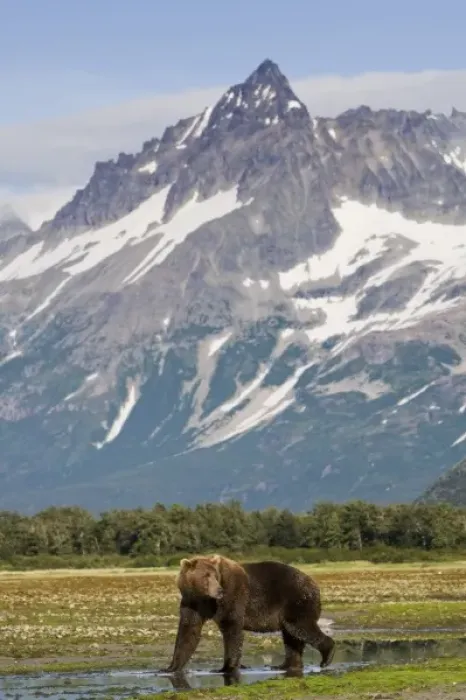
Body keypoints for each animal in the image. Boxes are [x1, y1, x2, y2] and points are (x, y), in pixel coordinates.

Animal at [161, 554, 335, 674]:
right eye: (206, 576)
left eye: (215, 576)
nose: (219, 590)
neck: (205, 597)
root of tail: (314, 583)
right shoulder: (192, 603)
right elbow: (188, 631)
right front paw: (170, 667)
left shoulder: (232, 595)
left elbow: (232, 628)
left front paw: (226, 667)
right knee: (291, 636)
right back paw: (285, 665)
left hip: (296, 598)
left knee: (300, 627)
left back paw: (326, 657)